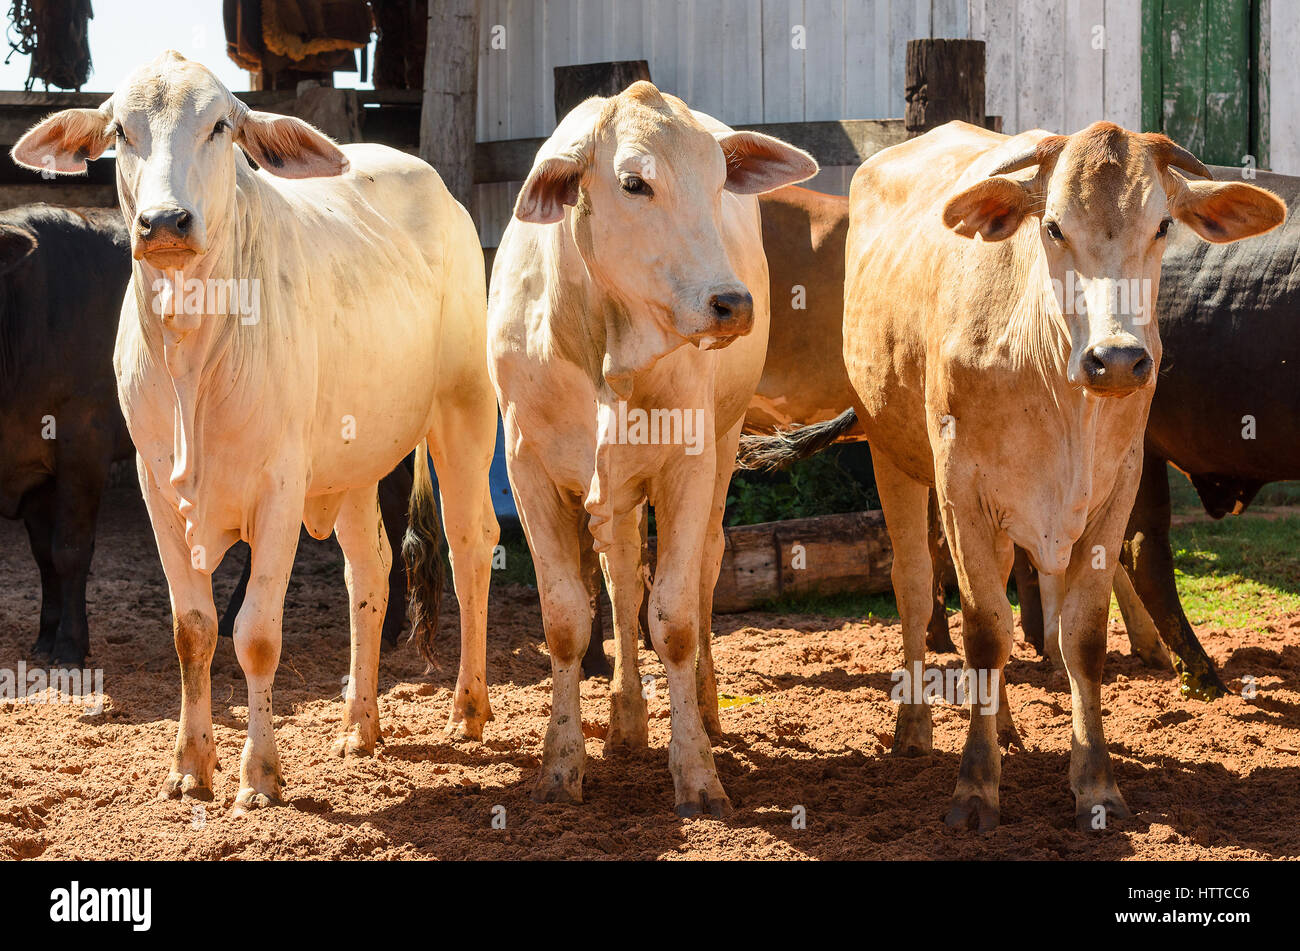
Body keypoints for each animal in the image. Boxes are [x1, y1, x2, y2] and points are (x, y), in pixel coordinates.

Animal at [0, 206, 131, 670]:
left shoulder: (84, 442)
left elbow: (70, 550)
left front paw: (71, 644)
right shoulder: (35, 468)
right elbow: (44, 556)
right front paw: (45, 636)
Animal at [15, 50, 501, 810]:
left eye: (220, 125)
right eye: (120, 130)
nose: (165, 221)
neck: (193, 353)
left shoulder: (278, 487)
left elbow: (257, 634)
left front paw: (260, 774)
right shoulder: (156, 486)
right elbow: (193, 629)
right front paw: (191, 765)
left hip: (463, 409)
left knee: (472, 544)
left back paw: (467, 708)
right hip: (352, 463)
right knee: (372, 568)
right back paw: (359, 723)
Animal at [491, 81, 816, 815]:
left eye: (719, 180)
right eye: (634, 183)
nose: (732, 303)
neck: (603, 339)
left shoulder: (688, 464)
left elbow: (675, 618)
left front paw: (696, 773)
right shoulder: (528, 469)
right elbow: (566, 617)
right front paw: (560, 766)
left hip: (720, 448)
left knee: (701, 573)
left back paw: (705, 707)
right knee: (619, 577)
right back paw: (626, 719)